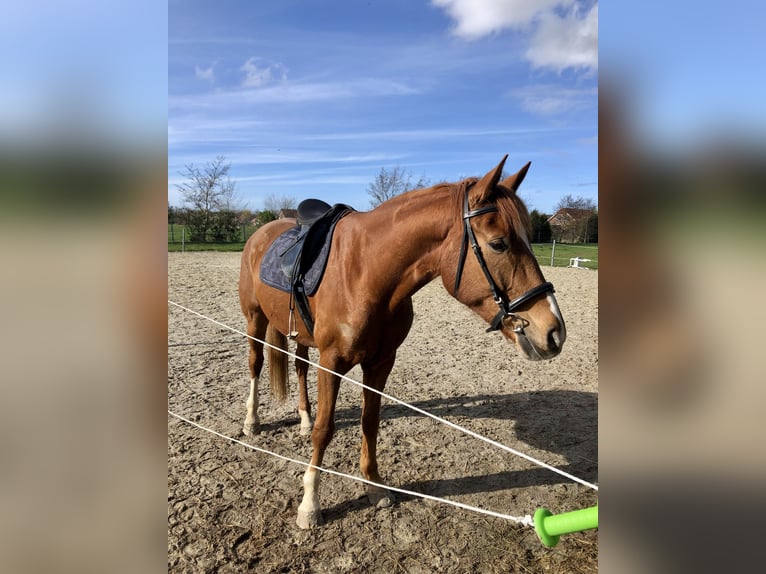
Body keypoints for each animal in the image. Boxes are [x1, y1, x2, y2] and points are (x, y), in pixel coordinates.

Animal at [240, 156, 568, 532]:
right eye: (499, 243)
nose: (554, 331)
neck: (367, 273)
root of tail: (262, 232)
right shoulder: (332, 362)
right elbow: (325, 431)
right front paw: (310, 504)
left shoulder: (381, 362)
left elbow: (369, 422)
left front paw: (374, 485)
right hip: (255, 319)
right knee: (255, 364)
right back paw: (251, 421)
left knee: (299, 367)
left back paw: (303, 417)